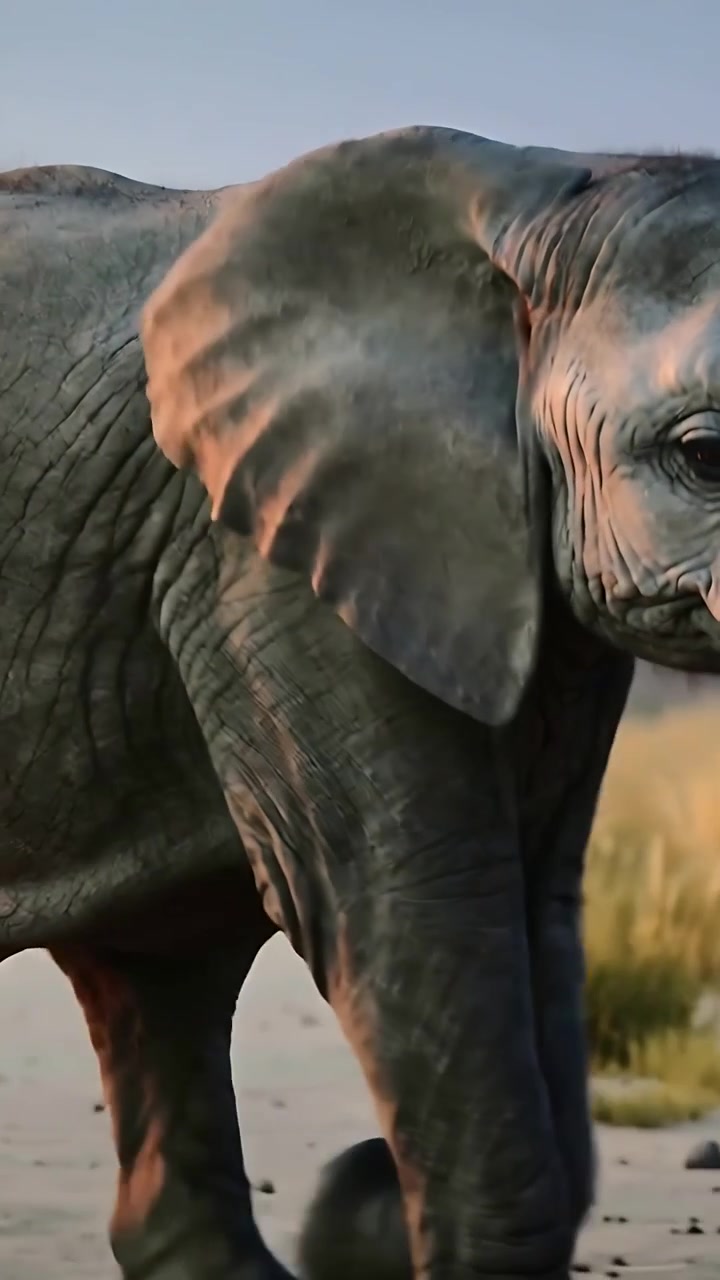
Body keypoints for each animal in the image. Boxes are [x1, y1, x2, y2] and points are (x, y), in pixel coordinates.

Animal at [2, 125, 720, 1280]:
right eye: (705, 457)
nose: (357, 1177)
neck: (554, 195)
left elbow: (538, 896)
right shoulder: (266, 554)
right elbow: (422, 896)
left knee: (158, 976)